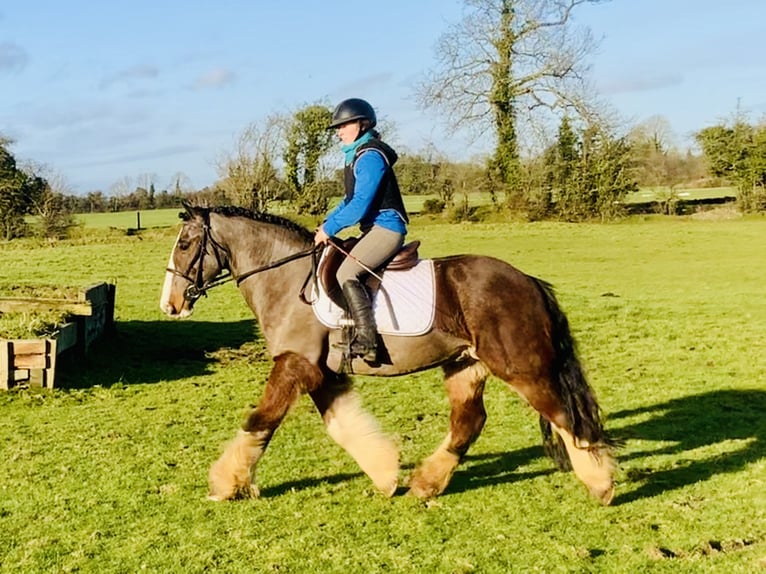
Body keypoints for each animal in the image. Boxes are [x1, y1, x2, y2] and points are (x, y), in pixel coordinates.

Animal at [160, 205, 616, 506]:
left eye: (185, 244)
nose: (171, 304)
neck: (287, 279)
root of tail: (529, 281)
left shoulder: (294, 364)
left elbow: (260, 420)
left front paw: (226, 484)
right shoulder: (321, 373)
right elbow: (343, 426)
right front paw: (385, 476)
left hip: (521, 369)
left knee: (564, 416)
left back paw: (602, 485)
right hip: (465, 364)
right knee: (469, 422)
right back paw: (426, 484)